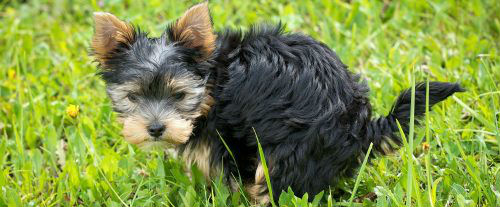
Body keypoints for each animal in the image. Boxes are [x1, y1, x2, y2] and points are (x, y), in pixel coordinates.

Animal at [92, 2, 462, 205]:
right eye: (134, 97)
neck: (213, 82)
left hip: (293, 150)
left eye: (179, 95)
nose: (155, 129)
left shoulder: (226, 139)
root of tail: (361, 124)